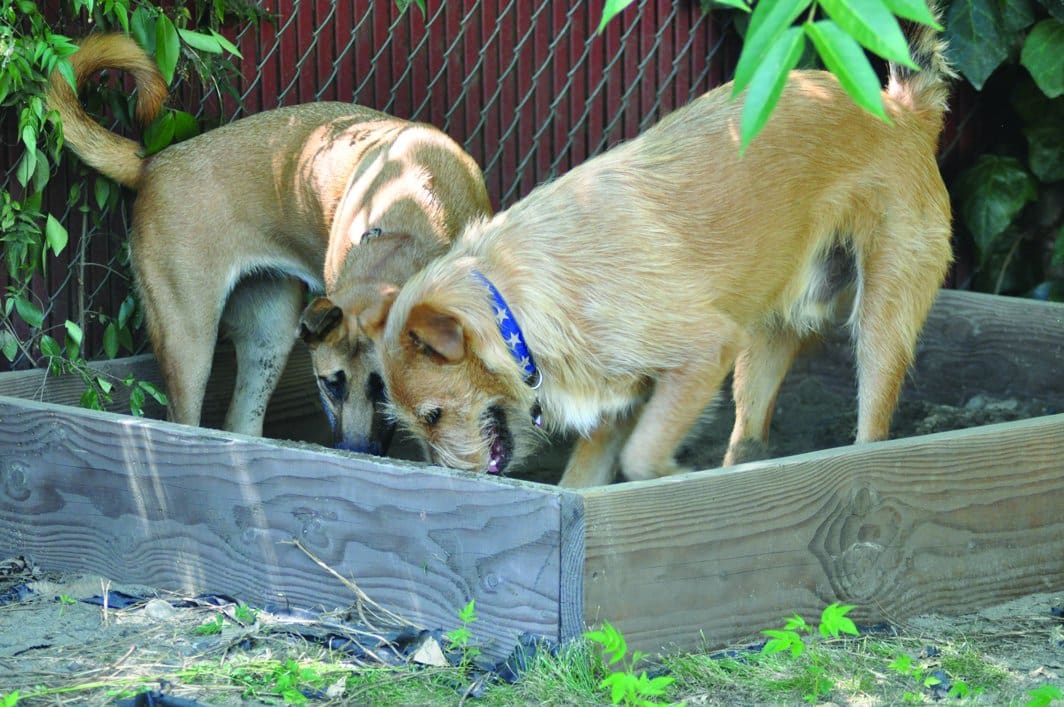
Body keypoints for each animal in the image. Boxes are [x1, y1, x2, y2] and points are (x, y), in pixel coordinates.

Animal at [51, 33, 491, 449]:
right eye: (330, 384)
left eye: (383, 390)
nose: (353, 451)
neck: (412, 210)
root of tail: (152, 164)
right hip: (189, 344)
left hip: (269, 338)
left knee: (240, 424)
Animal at [376, 22, 957, 485]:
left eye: (431, 415)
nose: (449, 479)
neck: (511, 303)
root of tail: (904, 110)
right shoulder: (619, 406)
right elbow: (581, 485)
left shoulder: (703, 353)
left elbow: (641, 457)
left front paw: (670, 475)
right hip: (764, 342)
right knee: (748, 438)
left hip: (880, 324)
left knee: (872, 434)